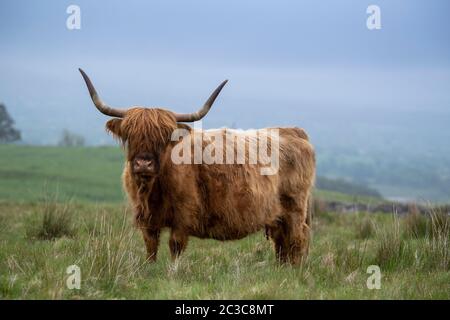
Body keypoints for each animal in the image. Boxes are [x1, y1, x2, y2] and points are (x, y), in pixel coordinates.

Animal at [79, 69, 314, 264]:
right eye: (131, 135)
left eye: (164, 137)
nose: (143, 163)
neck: (152, 189)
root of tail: (293, 130)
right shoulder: (147, 219)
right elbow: (151, 247)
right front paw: (149, 269)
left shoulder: (183, 216)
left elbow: (175, 247)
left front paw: (172, 273)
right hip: (278, 217)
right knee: (282, 244)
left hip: (294, 209)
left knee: (297, 240)